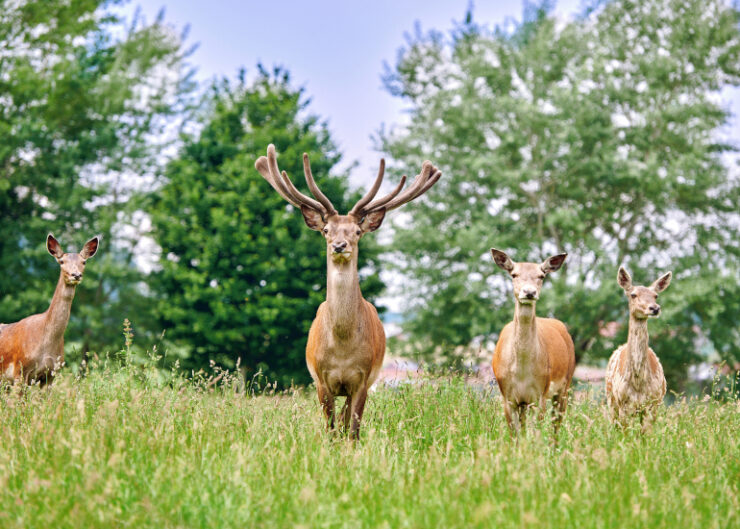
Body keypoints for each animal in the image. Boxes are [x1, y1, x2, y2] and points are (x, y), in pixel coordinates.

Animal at [254, 144, 440, 438]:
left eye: (357, 231)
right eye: (326, 229)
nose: (339, 245)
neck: (342, 346)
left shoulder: (363, 379)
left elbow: (352, 429)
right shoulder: (321, 379)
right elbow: (330, 428)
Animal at [492, 250, 580, 436]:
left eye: (541, 275)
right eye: (514, 274)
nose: (529, 292)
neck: (522, 372)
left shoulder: (540, 394)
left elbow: (534, 434)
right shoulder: (507, 396)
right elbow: (515, 435)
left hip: (565, 385)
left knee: (555, 426)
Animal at [608, 266, 672, 432]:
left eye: (655, 295)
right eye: (633, 294)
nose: (654, 308)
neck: (638, 382)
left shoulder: (653, 403)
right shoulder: (623, 403)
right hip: (611, 400)